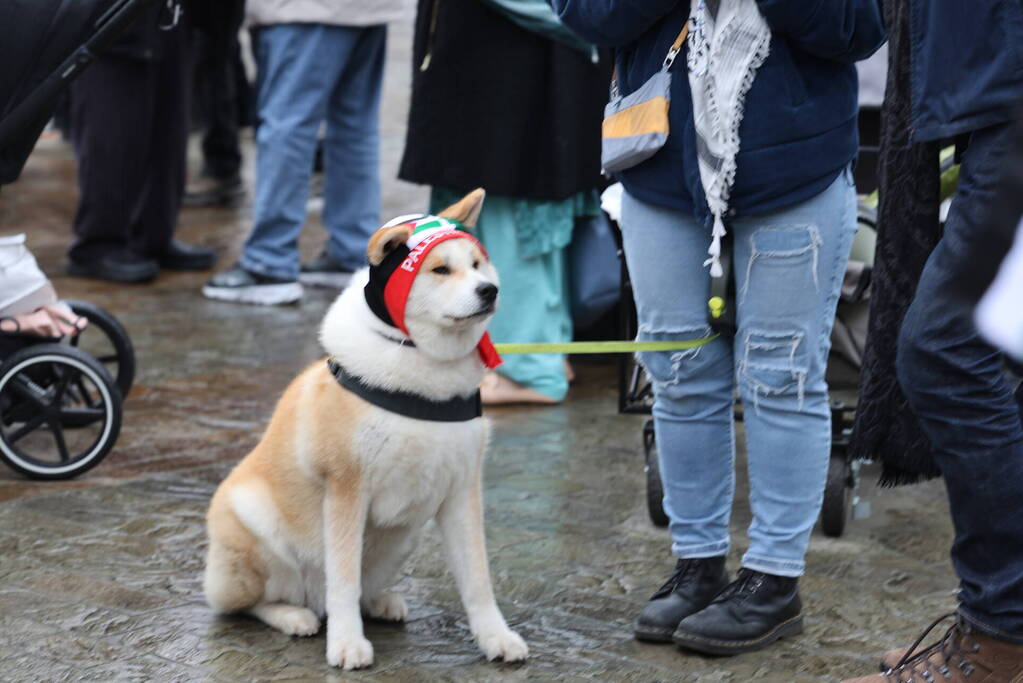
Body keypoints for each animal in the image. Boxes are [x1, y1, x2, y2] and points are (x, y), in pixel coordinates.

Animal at [204, 189, 531, 670]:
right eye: (440, 269)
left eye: (477, 265)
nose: (489, 290)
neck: (421, 375)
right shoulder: (345, 491)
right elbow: (342, 580)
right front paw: (345, 643)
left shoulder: (462, 491)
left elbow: (477, 579)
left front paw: (495, 637)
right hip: (252, 523)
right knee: (251, 603)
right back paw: (294, 615)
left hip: (402, 538)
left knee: (358, 586)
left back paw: (378, 602)